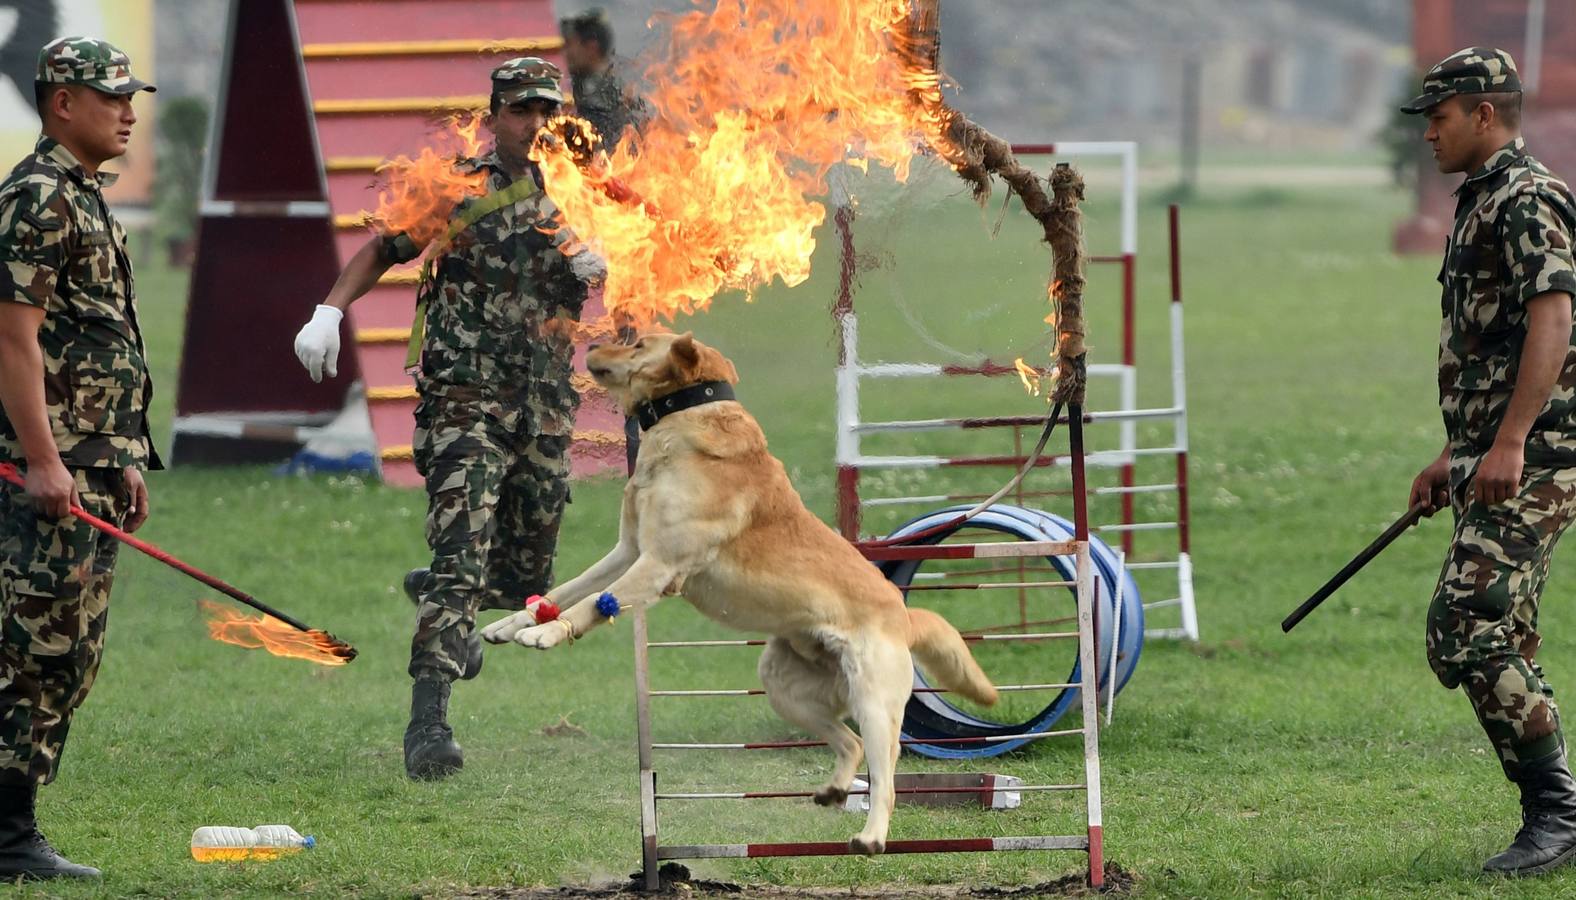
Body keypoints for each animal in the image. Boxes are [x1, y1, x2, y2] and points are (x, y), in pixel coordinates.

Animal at [482, 334, 996, 857]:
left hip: (873, 701)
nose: (590, 346)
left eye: (638, 343)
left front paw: (546, 634)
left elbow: (592, 602)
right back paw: (834, 790)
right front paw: (511, 624)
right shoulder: (628, 551)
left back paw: (870, 837)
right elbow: (567, 589)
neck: (680, 431)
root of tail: (902, 614)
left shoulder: (658, 563)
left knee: (885, 778)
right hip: (784, 689)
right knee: (847, 744)